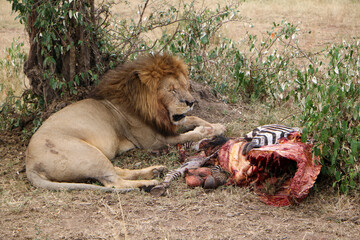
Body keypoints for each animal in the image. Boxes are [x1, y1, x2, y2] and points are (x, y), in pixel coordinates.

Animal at [26, 53, 225, 192]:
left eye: (185, 86)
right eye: (172, 90)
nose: (191, 102)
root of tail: (30, 164)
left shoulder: (167, 123)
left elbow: (192, 119)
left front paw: (217, 126)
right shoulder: (155, 141)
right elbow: (188, 135)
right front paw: (208, 131)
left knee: (117, 171)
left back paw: (154, 170)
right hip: (87, 153)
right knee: (113, 182)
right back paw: (148, 183)